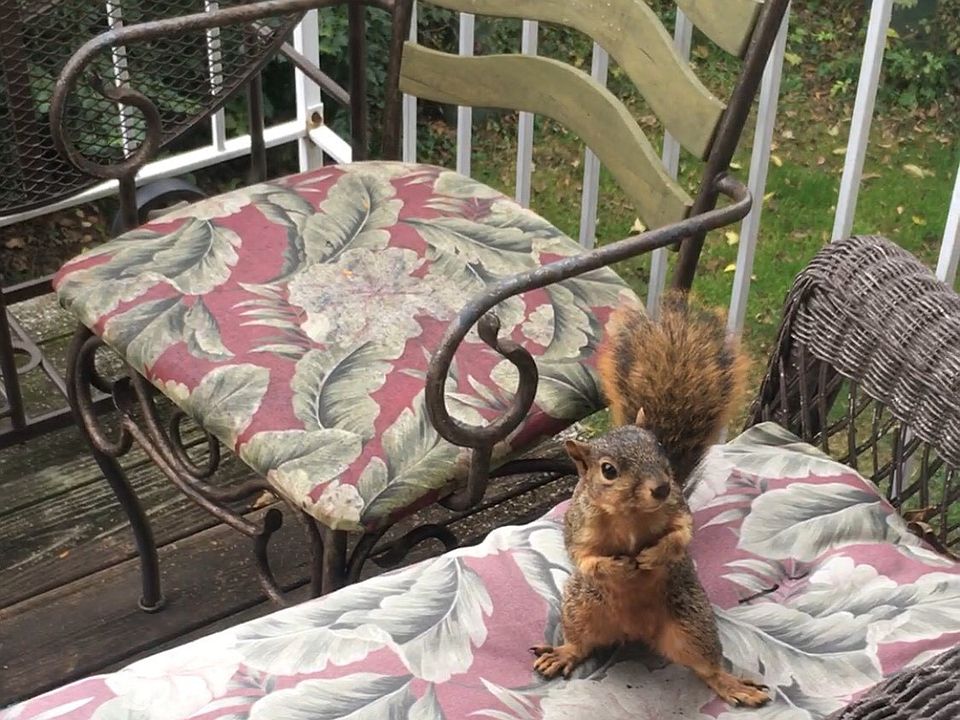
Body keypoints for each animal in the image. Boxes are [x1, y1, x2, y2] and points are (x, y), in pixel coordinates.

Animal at [532, 291, 768, 708]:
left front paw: (652, 555)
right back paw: (563, 653)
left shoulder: (677, 510)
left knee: (707, 668)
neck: (630, 514)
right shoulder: (580, 526)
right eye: (608, 470)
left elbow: (681, 534)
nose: (661, 487)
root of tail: (635, 631)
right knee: (581, 644)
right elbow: (585, 558)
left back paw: (733, 684)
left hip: (691, 623)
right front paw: (617, 566)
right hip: (580, 606)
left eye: (658, 448)